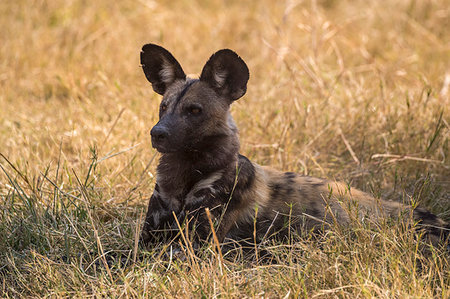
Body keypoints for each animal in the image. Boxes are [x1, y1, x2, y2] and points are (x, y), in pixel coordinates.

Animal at [139, 44, 448, 251]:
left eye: (194, 111)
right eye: (163, 107)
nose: (157, 133)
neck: (185, 173)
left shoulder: (192, 245)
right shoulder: (149, 235)